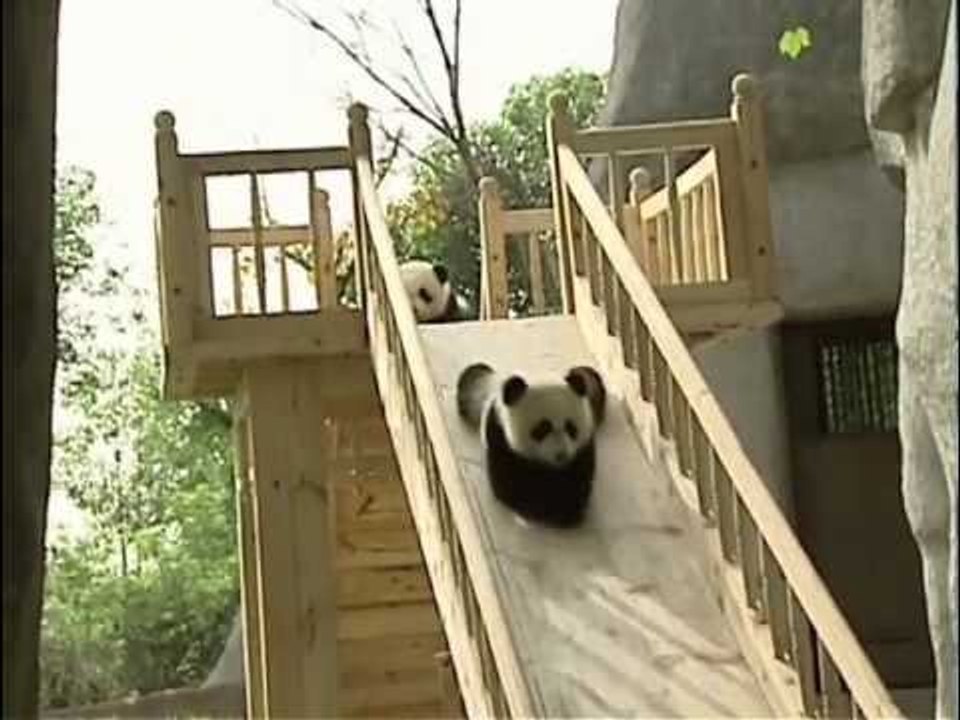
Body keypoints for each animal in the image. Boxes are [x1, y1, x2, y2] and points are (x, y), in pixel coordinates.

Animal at [456, 362, 607, 528]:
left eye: (571, 428)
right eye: (542, 429)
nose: (561, 455)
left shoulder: (584, 445)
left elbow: (579, 477)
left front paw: (568, 508)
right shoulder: (499, 433)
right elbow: (511, 483)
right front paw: (546, 508)